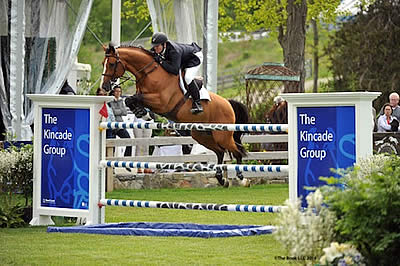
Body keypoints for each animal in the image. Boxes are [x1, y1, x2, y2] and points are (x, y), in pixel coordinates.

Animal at [100, 44, 248, 187]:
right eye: (103, 63)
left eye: (111, 64)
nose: (105, 87)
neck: (150, 74)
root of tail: (228, 103)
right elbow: (130, 100)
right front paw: (142, 113)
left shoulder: (161, 102)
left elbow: (134, 98)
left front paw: (144, 113)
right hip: (202, 135)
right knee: (220, 151)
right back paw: (221, 179)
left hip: (222, 135)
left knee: (237, 151)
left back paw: (241, 178)